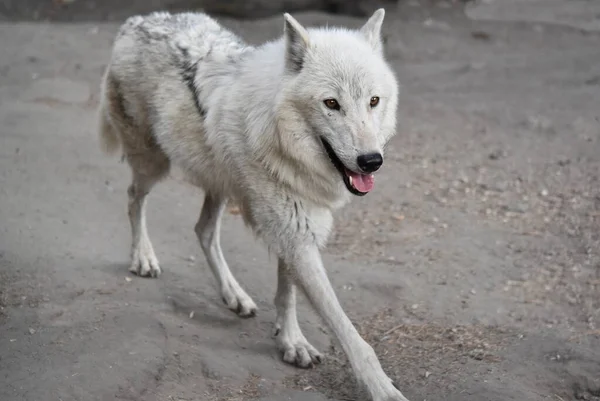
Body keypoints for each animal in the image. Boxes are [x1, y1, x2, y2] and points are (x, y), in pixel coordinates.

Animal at [98, 8, 408, 400]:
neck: (284, 144)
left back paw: (234, 295)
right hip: (154, 164)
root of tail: (138, 19)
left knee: (203, 230)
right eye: (331, 103)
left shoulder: (295, 229)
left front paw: (291, 342)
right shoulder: (294, 235)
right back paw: (143, 257)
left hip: (218, 182)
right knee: (133, 198)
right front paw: (381, 387)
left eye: (373, 101)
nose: (371, 161)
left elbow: (287, 294)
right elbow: (349, 332)